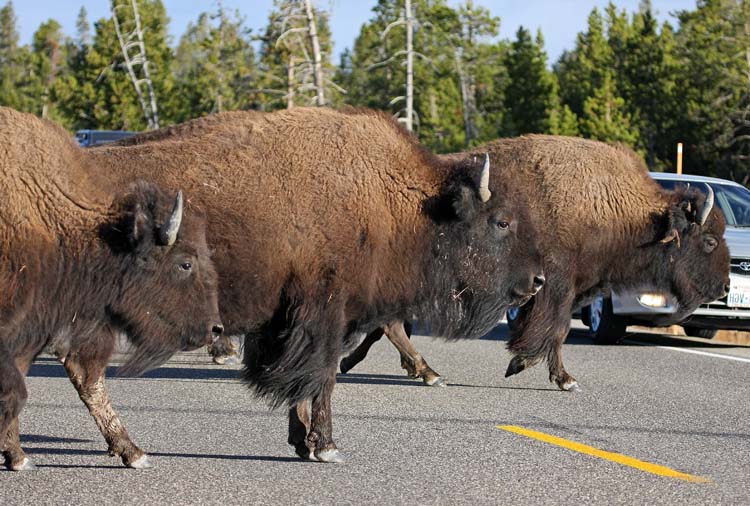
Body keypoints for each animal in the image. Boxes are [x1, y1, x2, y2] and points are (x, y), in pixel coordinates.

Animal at [85, 107, 548, 462]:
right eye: (501, 221)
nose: (538, 279)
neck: (399, 201)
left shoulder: (297, 321)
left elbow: (303, 381)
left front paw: (303, 442)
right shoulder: (323, 314)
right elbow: (322, 377)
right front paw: (326, 446)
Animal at [338, 134, 732, 392]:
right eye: (709, 241)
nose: (726, 285)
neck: (611, 204)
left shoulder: (567, 289)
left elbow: (553, 330)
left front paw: (529, 366)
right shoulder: (556, 286)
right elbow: (554, 330)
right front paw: (558, 377)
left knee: (388, 323)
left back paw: (368, 363)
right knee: (392, 323)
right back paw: (427, 372)